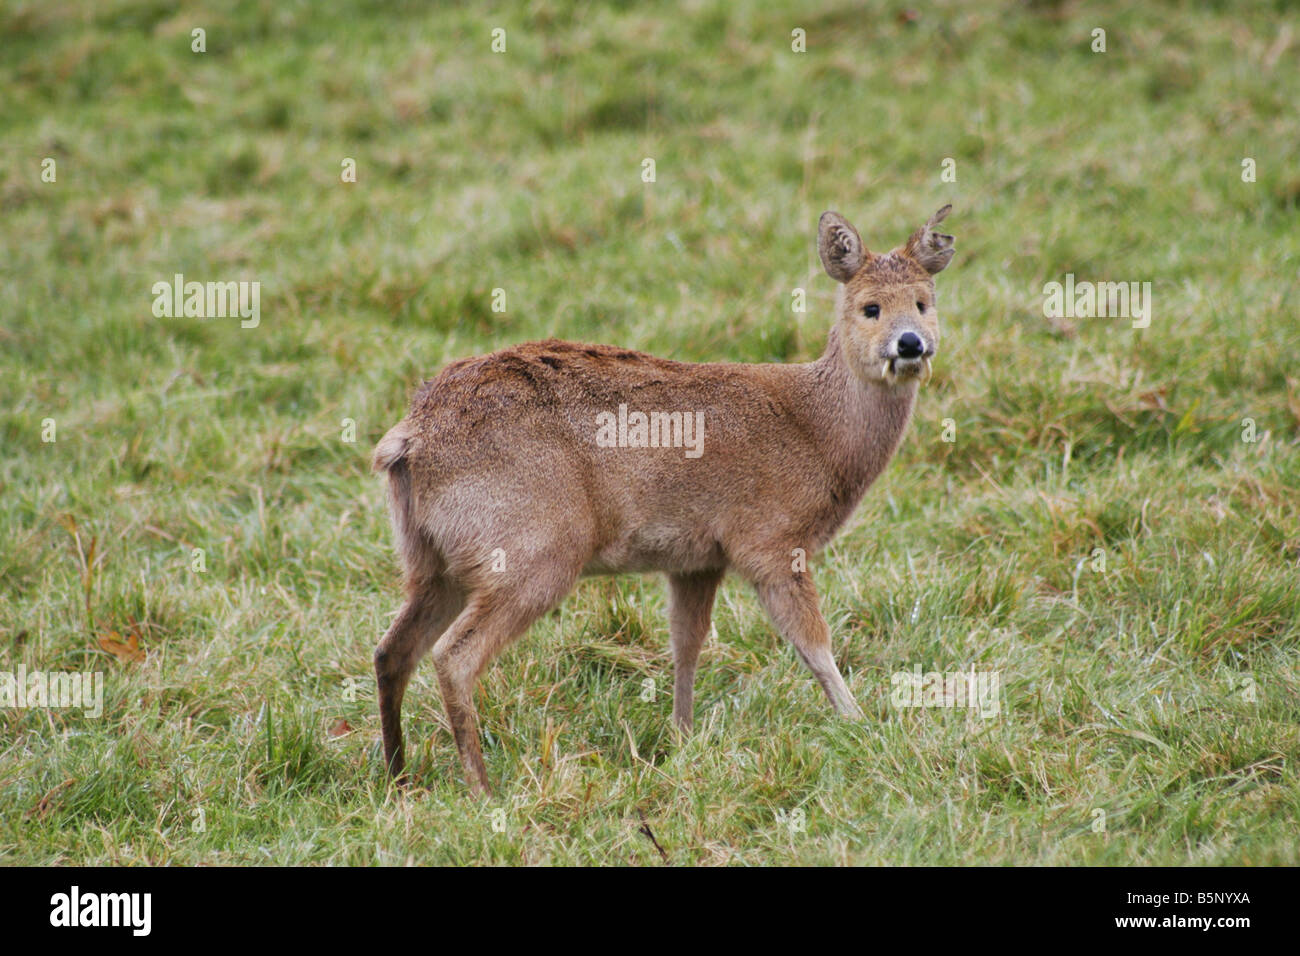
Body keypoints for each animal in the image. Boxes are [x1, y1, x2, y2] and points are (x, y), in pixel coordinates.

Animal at [374, 201, 956, 790]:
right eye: (870, 307)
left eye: (924, 302)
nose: (911, 343)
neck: (818, 431)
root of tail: (409, 439)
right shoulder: (768, 540)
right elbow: (813, 642)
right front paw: (860, 725)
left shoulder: (698, 558)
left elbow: (687, 644)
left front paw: (681, 739)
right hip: (532, 548)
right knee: (454, 656)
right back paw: (481, 788)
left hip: (432, 562)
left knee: (391, 651)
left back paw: (398, 776)